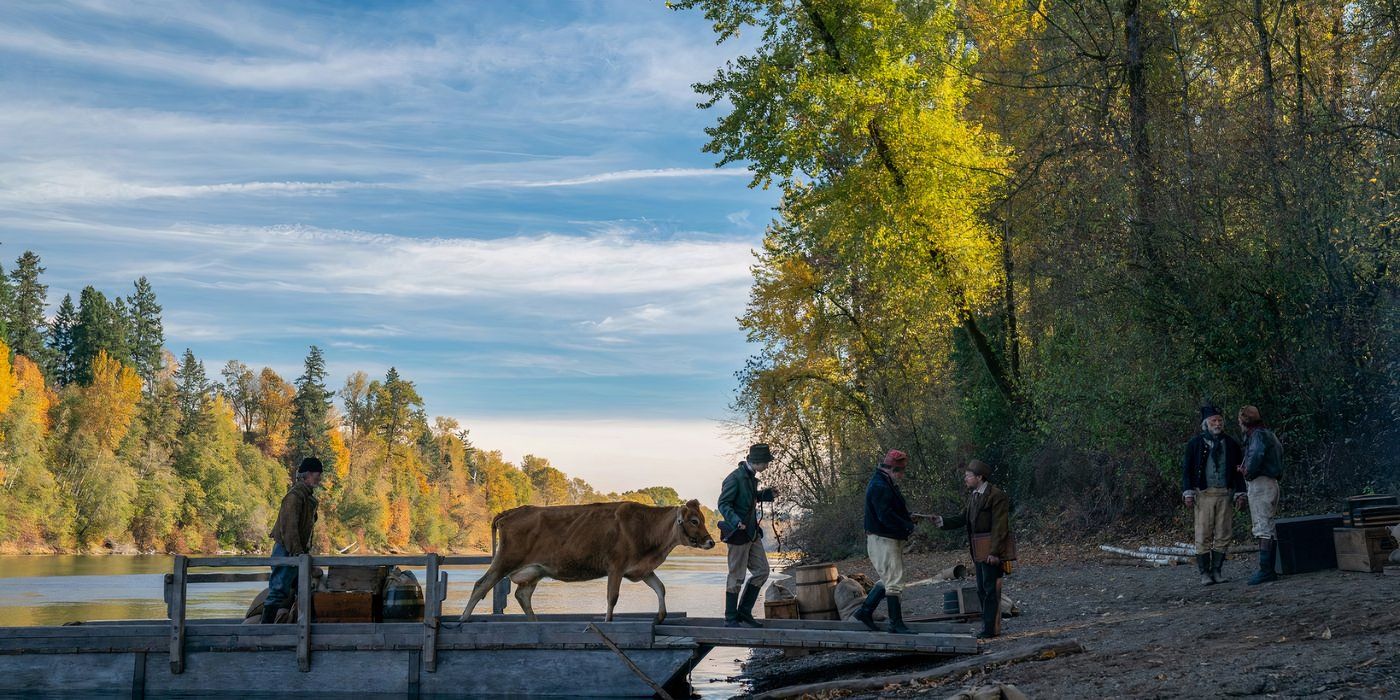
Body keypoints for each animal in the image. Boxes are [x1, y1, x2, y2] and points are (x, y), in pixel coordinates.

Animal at [462, 501, 711, 621]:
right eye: (694, 520)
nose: (710, 541)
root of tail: (511, 511)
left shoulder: (641, 568)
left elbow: (660, 588)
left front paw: (661, 616)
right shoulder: (616, 566)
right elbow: (612, 598)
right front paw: (607, 621)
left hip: (534, 571)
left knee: (522, 595)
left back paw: (536, 622)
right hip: (505, 560)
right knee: (481, 585)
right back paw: (463, 620)